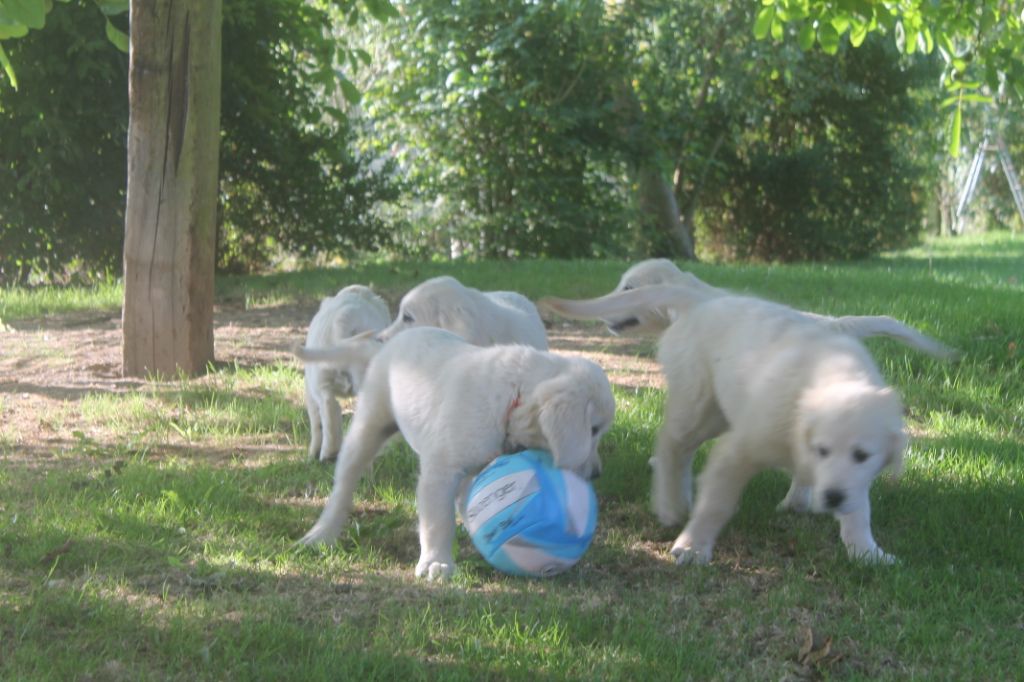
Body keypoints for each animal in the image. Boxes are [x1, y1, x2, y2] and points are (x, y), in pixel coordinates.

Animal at [296, 327, 614, 577]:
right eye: (593, 429)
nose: (597, 473)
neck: (513, 395)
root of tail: (387, 345)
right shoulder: (441, 470)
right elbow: (438, 520)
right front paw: (436, 563)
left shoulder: (476, 466)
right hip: (370, 425)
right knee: (344, 484)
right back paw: (321, 533)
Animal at [544, 282, 950, 561]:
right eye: (821, 450)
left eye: (862, 455)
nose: (832, 498)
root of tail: (702, 301)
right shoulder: (739, 449)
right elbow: (717, 503)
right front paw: (693, 548)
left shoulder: (854, 477)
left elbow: (859, 509)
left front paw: (867, 552)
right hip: (700, 405)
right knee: (673, 445)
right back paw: (671, 504)